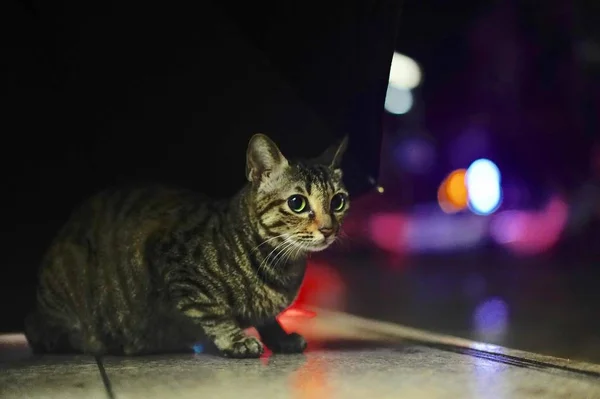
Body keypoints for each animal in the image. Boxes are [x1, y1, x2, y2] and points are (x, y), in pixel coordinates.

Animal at [24, 134, 352, 360]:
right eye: (297, 203)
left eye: (338, 201)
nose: (328, 229)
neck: (283, 265)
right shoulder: (176, 266)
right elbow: (214, 311)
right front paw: (236, 340)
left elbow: (269, 319)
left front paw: (280, 338)